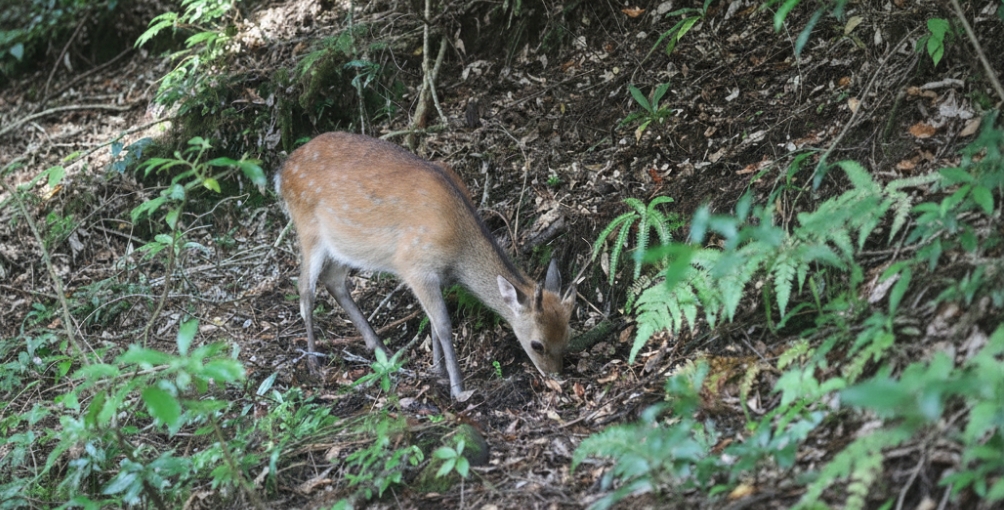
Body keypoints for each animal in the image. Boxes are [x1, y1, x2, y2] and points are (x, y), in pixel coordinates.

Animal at [274, 132, 576, 398]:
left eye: (567, 335)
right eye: (537, 344)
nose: (556, 376)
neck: (457, 246)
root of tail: (282, 170)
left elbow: (432, 321)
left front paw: (438, 369)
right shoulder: (413, 264)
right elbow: (442, 323)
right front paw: (458, 388)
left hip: (342, 245)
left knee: (333, 280)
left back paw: (381, 349)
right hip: (307, 228)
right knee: (305, 289)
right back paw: (314, 363)